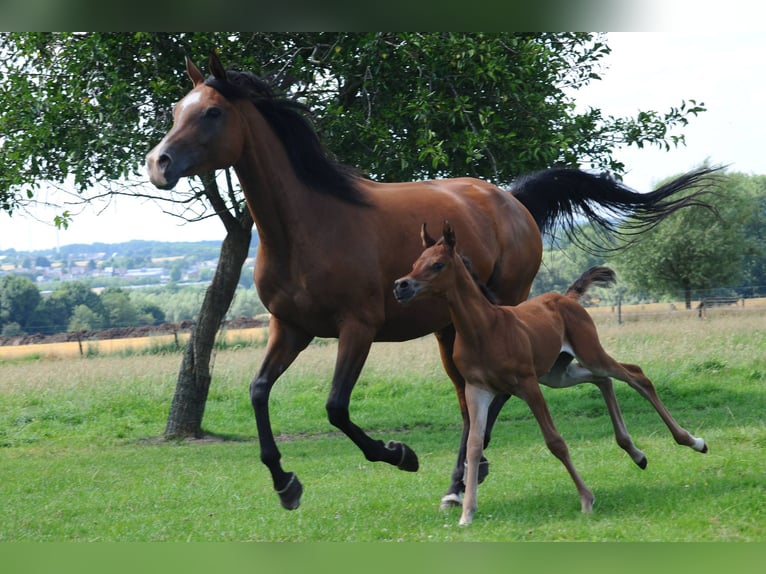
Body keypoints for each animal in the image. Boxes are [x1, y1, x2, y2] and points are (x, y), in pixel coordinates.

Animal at [396, 223, 708, 528]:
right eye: (414, 262)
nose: (401, 286)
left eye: (437, 264)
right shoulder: (478, 389)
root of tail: (566, 297)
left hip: (590, 353)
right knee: (603, 380)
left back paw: (693, 442)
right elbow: (474, 445)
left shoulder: (527, 384)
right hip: (558, 374)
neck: (484, 329)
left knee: (635, 375)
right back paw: (637, 453)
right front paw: (467, 513)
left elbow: (554, 441)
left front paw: (586, 499)